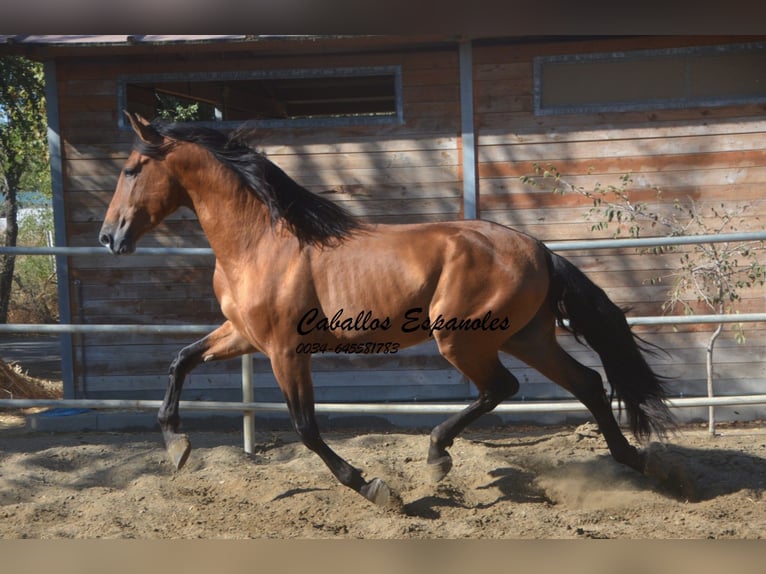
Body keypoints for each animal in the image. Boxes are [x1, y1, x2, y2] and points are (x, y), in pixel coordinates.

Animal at [97, 112, 680, 508]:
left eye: (131, 169)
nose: (108, 238)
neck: (260, 243)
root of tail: (540, 249)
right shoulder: (243, 335)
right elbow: (180, 361)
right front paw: (176, 446)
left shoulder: (286, 350)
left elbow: (306, 427)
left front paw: (373, 487)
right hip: (525, 336)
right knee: (587, 383)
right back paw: (634, 461)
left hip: (463, 338)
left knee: (503, 388)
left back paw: (438, 454)